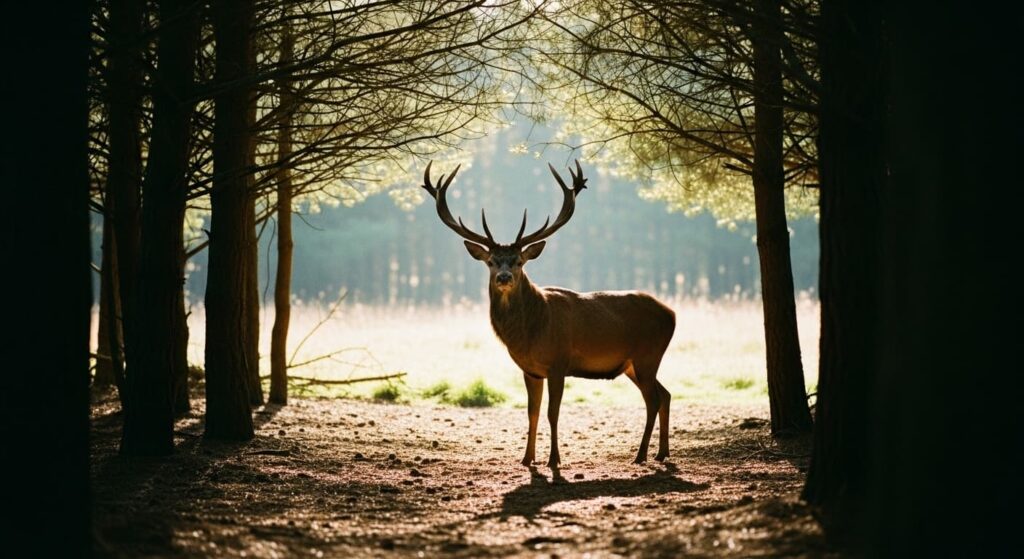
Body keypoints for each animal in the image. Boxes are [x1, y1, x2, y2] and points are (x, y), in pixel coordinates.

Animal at [420, 160, 676, 467]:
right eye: (491, 262)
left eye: (519, 261)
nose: (504, 277)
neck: (530, 333)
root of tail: (672, 314)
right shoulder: (530, 370)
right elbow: (532, 412)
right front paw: (527, 458)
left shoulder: (558, 363)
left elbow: (553, 413)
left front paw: (554, 460)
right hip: (632, 365)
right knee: (666, 394)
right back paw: (662, 453)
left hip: (647, 355)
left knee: (653, 399)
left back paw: (640, 455)